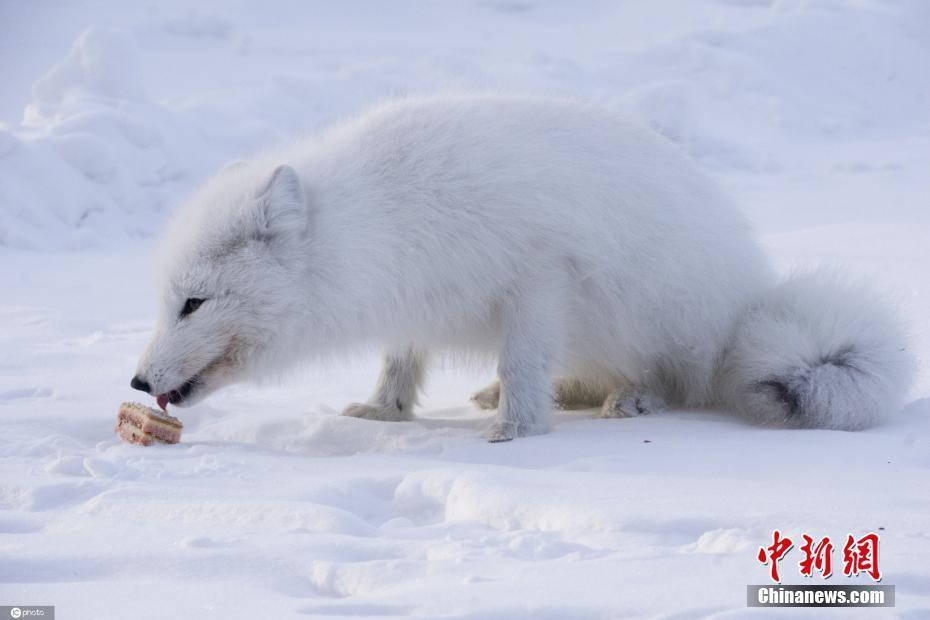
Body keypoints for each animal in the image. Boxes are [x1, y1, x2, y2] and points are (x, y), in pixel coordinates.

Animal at [130, 93, 912, 440]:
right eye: (166, 300)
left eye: (193, 304)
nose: (136, 381)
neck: (379, 221)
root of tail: (747, 305)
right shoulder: (415, 302)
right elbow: (399, 363)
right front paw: (385, 411)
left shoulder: (540, 275)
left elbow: (523, 359)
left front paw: (517, 428)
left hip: (657, 320)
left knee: (680, 380)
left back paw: (630, 398)